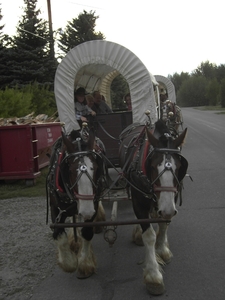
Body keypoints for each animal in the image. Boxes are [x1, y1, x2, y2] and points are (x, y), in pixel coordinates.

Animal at [46, 127, 105, 278]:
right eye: (71, 170)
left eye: (96, 168)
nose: (86, 211)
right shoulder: (55, 207)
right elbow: (59, 234)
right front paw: (69, 262)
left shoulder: (92, 204)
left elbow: (87, 232)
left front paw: (85, 264)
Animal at [119, 119, 188, 296]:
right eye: (153, 166)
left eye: (179, 167)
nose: (167, 210)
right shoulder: (139, 201)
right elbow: (149, 235)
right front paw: (153, 276)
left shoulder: (171, 200)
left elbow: (164, 225)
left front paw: (162, 249)